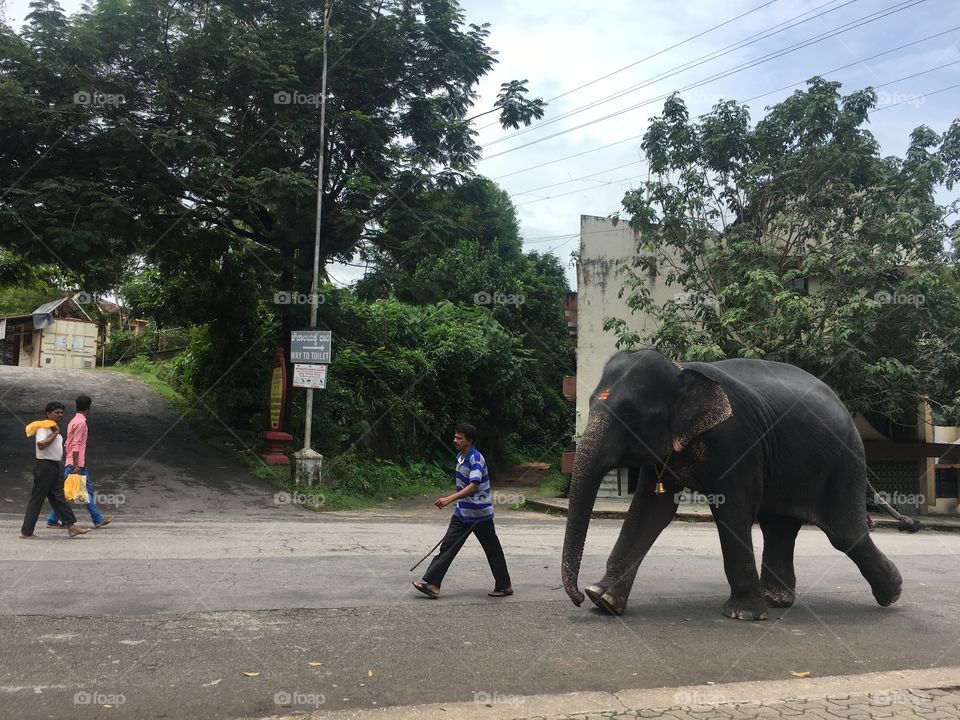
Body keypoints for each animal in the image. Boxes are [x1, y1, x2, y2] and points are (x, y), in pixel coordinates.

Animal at [564, 348, 924, 620]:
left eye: (629, 414)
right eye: (592, 401)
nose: (578, 597)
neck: (682, 370)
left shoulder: (738, 441)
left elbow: (733, 511)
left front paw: (743, 615)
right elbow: (651, 511)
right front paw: (603, 600)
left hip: (844, 463)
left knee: (845, 533)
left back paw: (893, 593)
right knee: (779, 526)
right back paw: (778, 600)